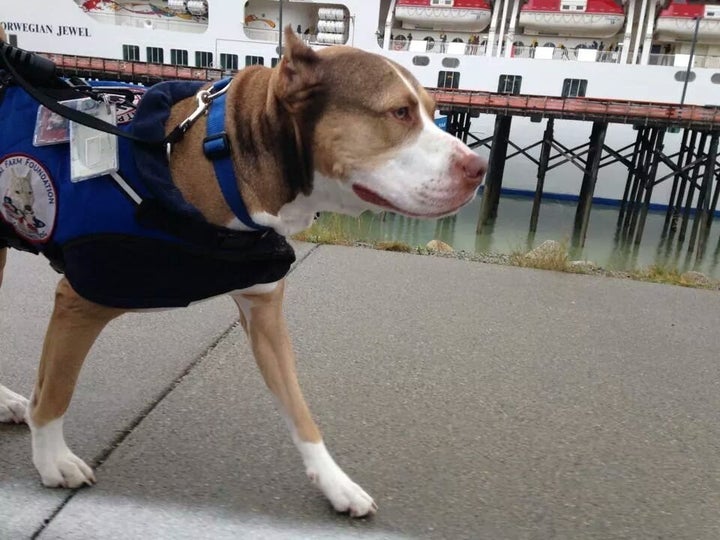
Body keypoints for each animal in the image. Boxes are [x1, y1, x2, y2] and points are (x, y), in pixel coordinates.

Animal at [0, 27, 486, 516]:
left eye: (435, 112)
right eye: (399, 112)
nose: (480, 168)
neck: (224, 163)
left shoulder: (264, 310)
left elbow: (298, 406)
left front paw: (335, 482)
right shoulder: (79, 301)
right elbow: (56, 390)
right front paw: (53, 461)